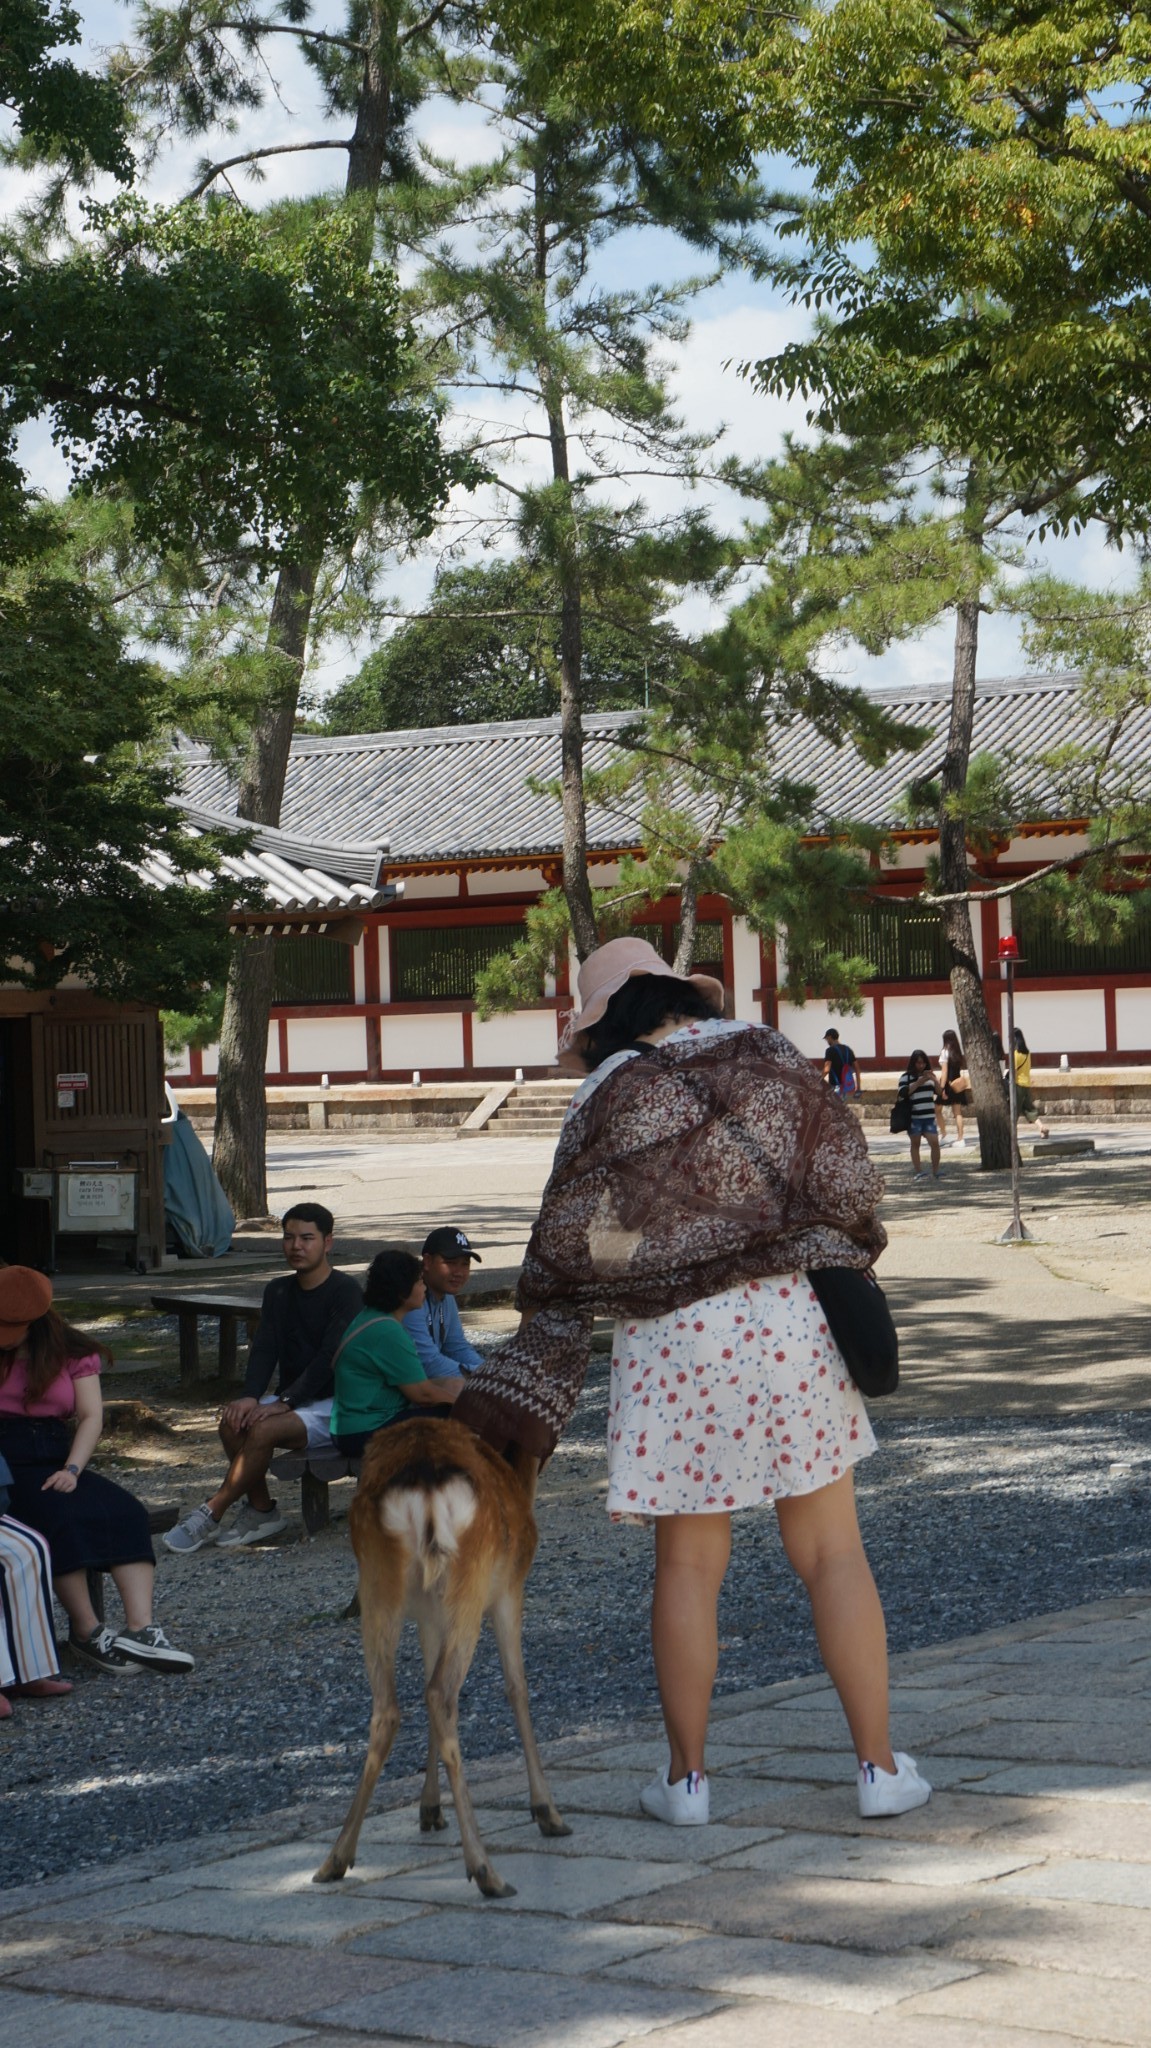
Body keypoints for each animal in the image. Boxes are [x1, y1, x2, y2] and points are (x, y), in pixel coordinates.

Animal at [311, 1417, 565, 1892]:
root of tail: (426, 1485)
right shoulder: (509, 1590)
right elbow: (517, 1687)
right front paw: (547, 1811)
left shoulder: (429, 1613)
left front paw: (429, 1808)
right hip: (472, 1580)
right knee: (442, 1694)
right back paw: (485, 1869)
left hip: (378, 1585)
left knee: (392, 1706)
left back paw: (335, 1858)